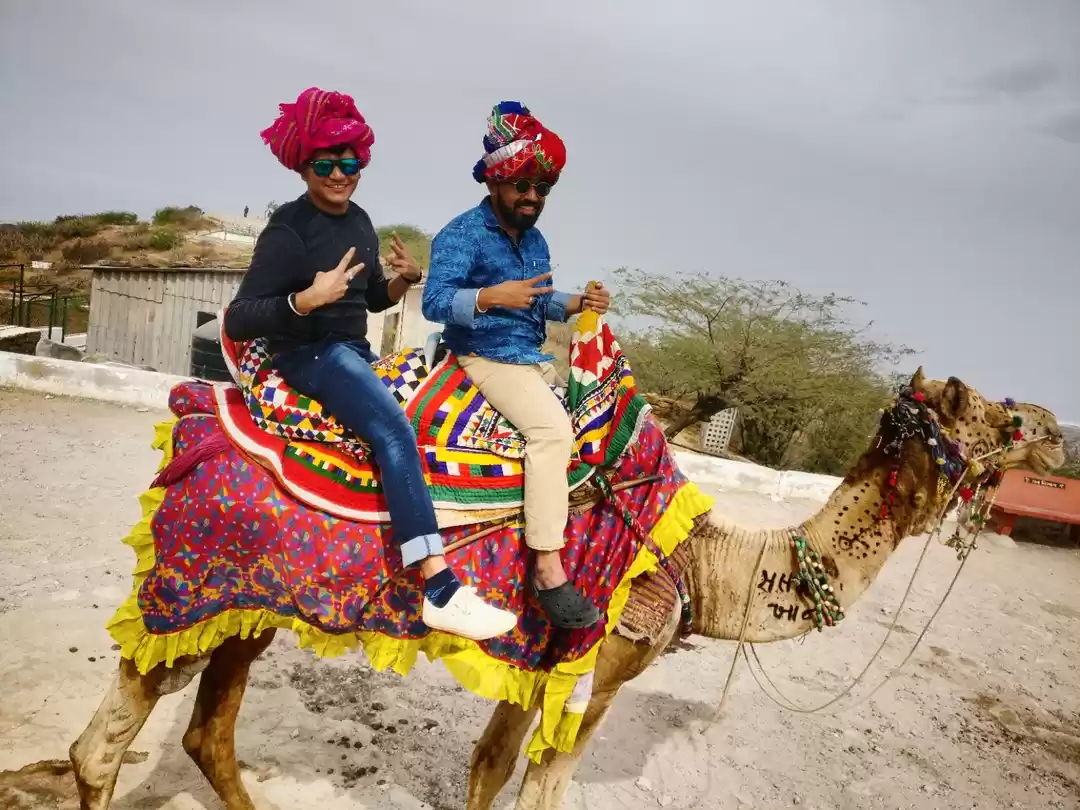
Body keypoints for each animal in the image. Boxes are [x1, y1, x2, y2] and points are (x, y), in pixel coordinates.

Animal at [65, 371, 1062, 807]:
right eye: (1002, 416)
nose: (1058, 434)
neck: (703, 560)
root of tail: (193, 407)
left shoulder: (537, 666)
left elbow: (489, 768)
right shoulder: (601, 668)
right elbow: (544, 787)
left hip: (254, 606)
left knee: (207, 730)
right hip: (192, 589)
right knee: (103, 747)